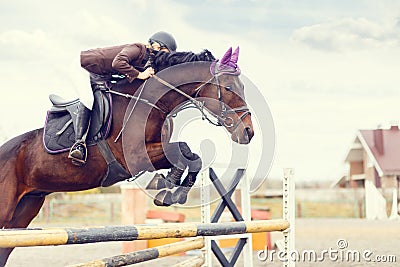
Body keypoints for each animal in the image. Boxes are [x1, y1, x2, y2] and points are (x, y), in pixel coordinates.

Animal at [0, 46, 255, 266]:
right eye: (229, 87)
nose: (248, 132)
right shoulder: (133, 156)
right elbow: (182, 150)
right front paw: (167, 185)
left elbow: (190, 155)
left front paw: (171, 190)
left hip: (25, 209)